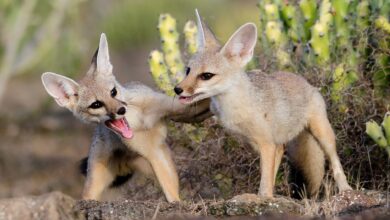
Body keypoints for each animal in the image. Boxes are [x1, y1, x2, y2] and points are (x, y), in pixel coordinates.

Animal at [41, 33, 210, 202]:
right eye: (96, 104)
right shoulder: (153, 152)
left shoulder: (177, 112)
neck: (139, 122)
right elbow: (170, 191)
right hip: (95, 184)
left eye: (113, 92)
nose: (121, 110)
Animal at [174, 11, 354, 198]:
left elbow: (265, 181)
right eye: (188, 71)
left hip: (323, 135)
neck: (234, 106)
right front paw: (264, 196)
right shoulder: (258, 143)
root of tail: (306, 82)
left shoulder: (266, 144)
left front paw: (264, 198)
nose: (177, 89)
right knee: (280, 155)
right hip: (277, 142)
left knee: (335, 162)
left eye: (206, 75)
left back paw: (345, 188)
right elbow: (267, 176)